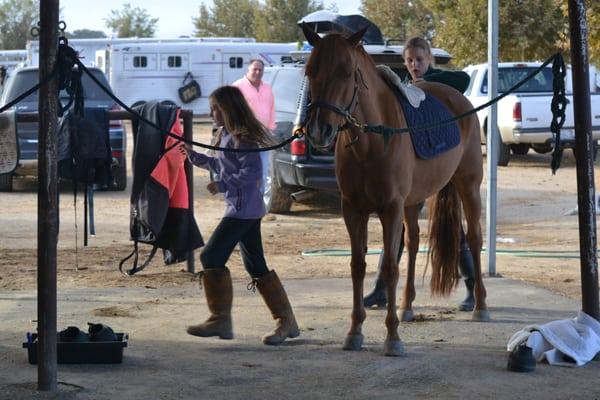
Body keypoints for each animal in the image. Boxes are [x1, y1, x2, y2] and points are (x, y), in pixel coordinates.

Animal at [302, 24, 490, 356]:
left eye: (347, 71)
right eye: (310, 70)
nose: (319, 131)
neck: (372, 141)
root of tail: (462, 102)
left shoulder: (390, 208)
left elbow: (389, 266)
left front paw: (393, 337)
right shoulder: (353, 210)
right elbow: (358, 265)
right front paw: (355, 332)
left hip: (468, 186)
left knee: (474, 238)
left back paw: (479, 305)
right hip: (412, 203)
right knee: (414, 242)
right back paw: (407, 306)